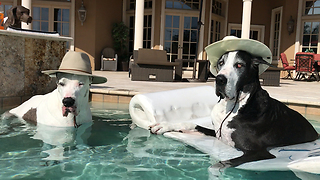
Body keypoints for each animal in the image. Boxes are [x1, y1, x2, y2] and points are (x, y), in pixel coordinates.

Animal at [151, 50, 318, 167]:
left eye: (239, 65)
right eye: (221, 63)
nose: (219, 80)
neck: (235, 105)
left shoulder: (258, 152)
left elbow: (219, 164)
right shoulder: (216, 132)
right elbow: (191, 124)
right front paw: (164, 125)